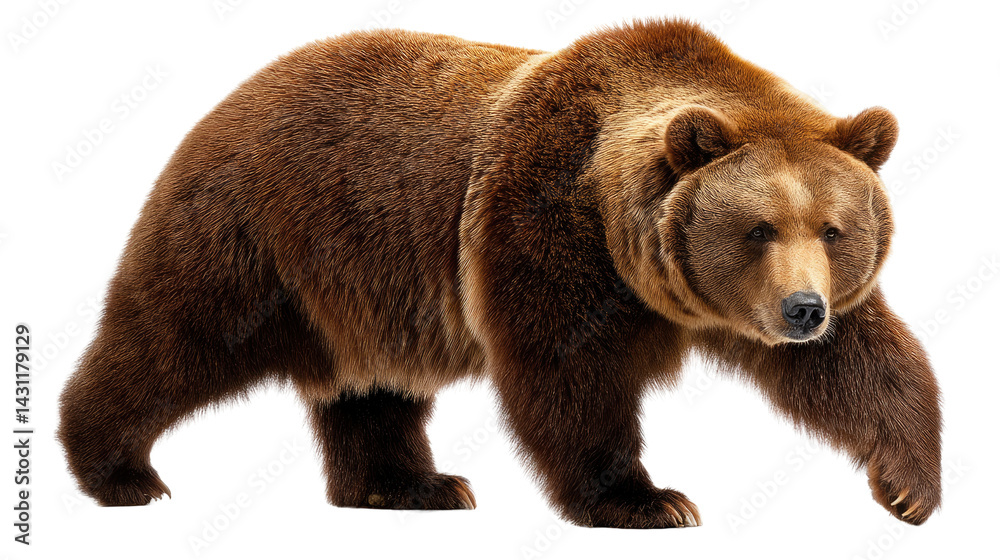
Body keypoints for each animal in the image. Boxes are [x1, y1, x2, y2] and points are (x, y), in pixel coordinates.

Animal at [58, 19, 941, 528]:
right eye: (758, 227)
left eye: (833, 229)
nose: (802, 310)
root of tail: (227, 99)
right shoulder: (542, 221)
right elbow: (566, 373)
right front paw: (646, 498)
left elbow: (861, 367)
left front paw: (909, 485)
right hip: (259, 232)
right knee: (175, 337)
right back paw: (118, 471)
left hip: (362, 283)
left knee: (374, 387)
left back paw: (410, 486)